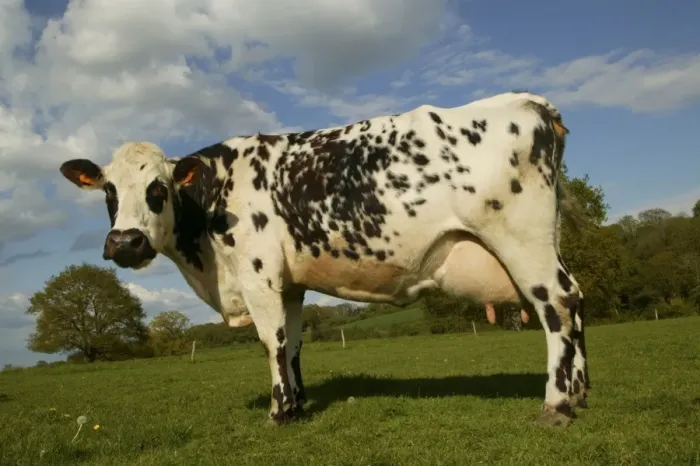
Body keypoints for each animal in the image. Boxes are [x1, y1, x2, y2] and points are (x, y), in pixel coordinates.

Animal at [59, 90, 589, 428]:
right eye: (108, 191)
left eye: (158, 189)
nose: (125, 243)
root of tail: (527, 101)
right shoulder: (291, 283)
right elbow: (292, 344)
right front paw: (299, 402)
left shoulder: (258, 277)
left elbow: (270, 342)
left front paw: (279, 413)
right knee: (576, 302)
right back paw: (580, 393)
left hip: (522, 240)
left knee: (558, 305)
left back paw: (557, 407)